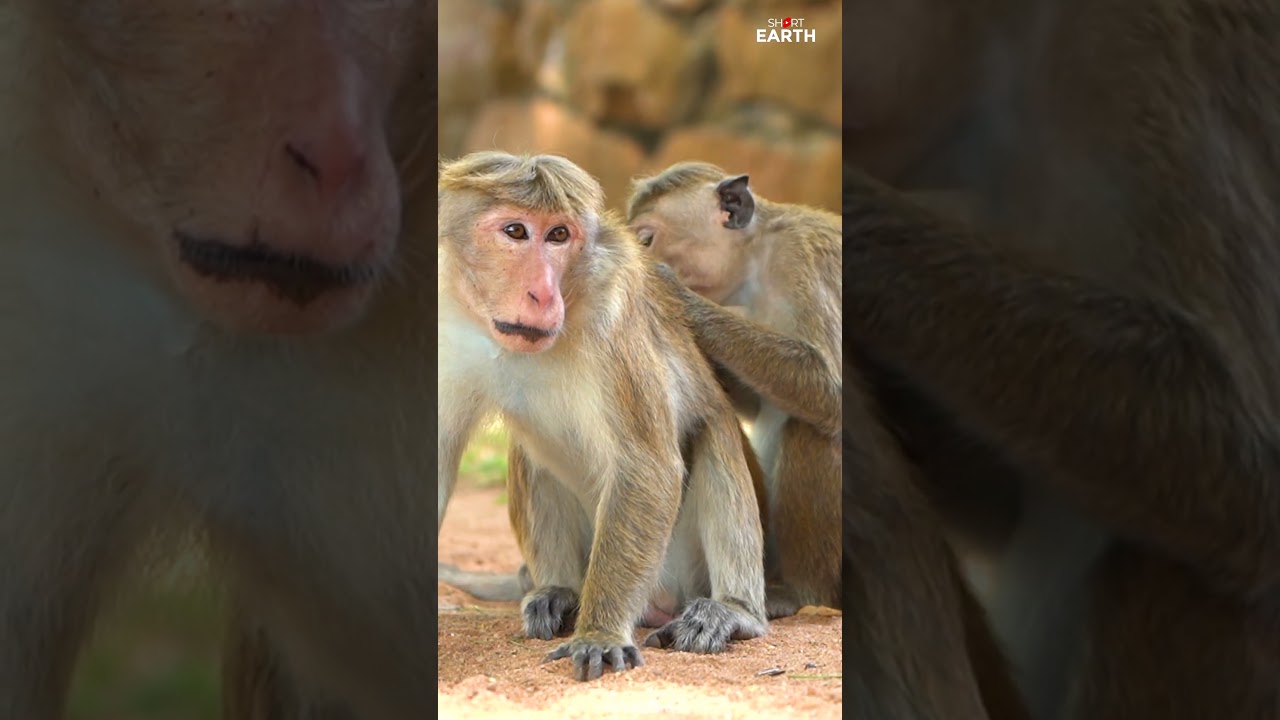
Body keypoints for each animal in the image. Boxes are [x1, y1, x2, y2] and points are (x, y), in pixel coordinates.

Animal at [436, 150, 769, 682]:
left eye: (558, 235)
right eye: (515, 231)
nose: (543, 294)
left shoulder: (612, 316)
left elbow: (647, 465)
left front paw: (600, 634)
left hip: (675, 564)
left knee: (713, 431)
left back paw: (735, 611)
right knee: (529, 452)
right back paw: (559, 592)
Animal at [624, 163, 841, 619]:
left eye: (647, 239)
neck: (757, 255)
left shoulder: (803, 260)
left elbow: (832, 390)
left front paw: (672, 293)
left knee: (814, 427)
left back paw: (803, 592)